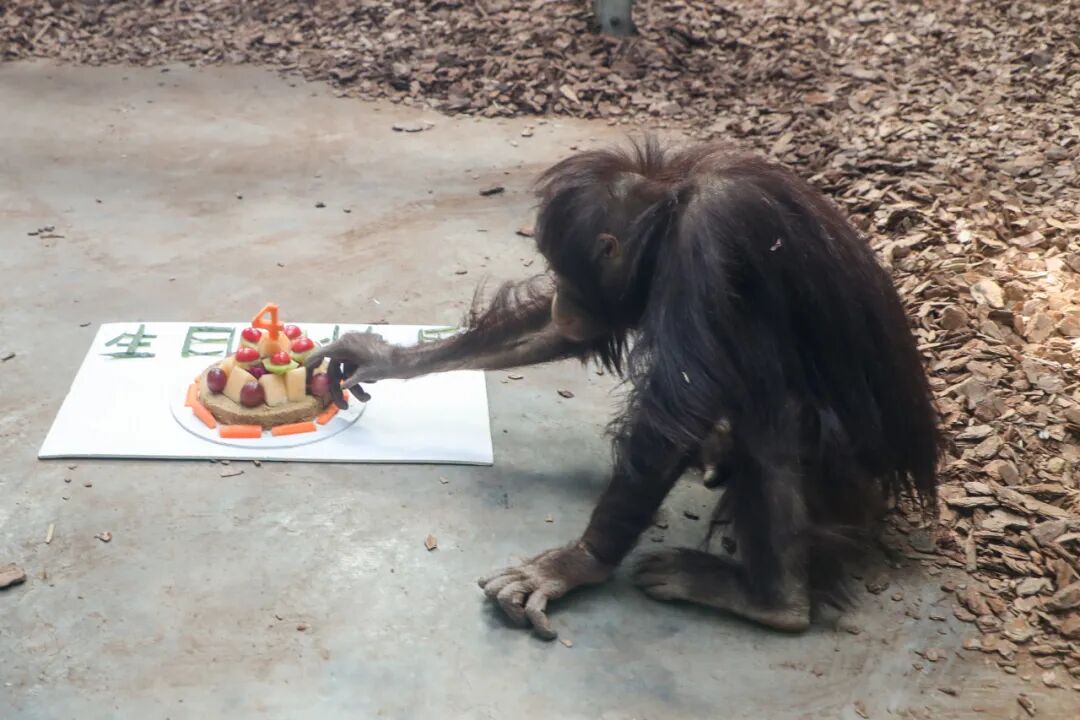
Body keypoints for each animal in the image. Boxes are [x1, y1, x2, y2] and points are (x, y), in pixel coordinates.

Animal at [307, 137, 940, 640]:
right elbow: (557, 336)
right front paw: (380, 357)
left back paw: (771, 599)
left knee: (774, 408)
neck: (675, 203)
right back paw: (721, 457)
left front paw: (573, 564)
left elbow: (677, 406)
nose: (560, 297)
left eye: (563, 268)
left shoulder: (708, 240)